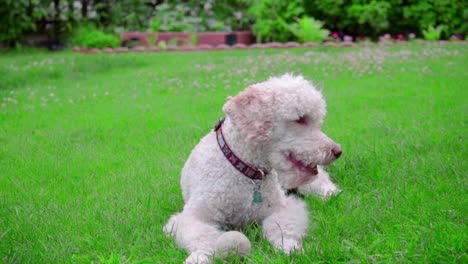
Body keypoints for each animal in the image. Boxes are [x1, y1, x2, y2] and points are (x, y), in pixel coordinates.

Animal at [164, 73, 340, 262]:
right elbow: (203, 236)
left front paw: (289, 247)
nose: (337, 151)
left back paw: (330, 193)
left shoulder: (284, 208)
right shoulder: (192, 218)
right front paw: (200, 257)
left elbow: (280, 227)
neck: (246, 171)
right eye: (300, 119)